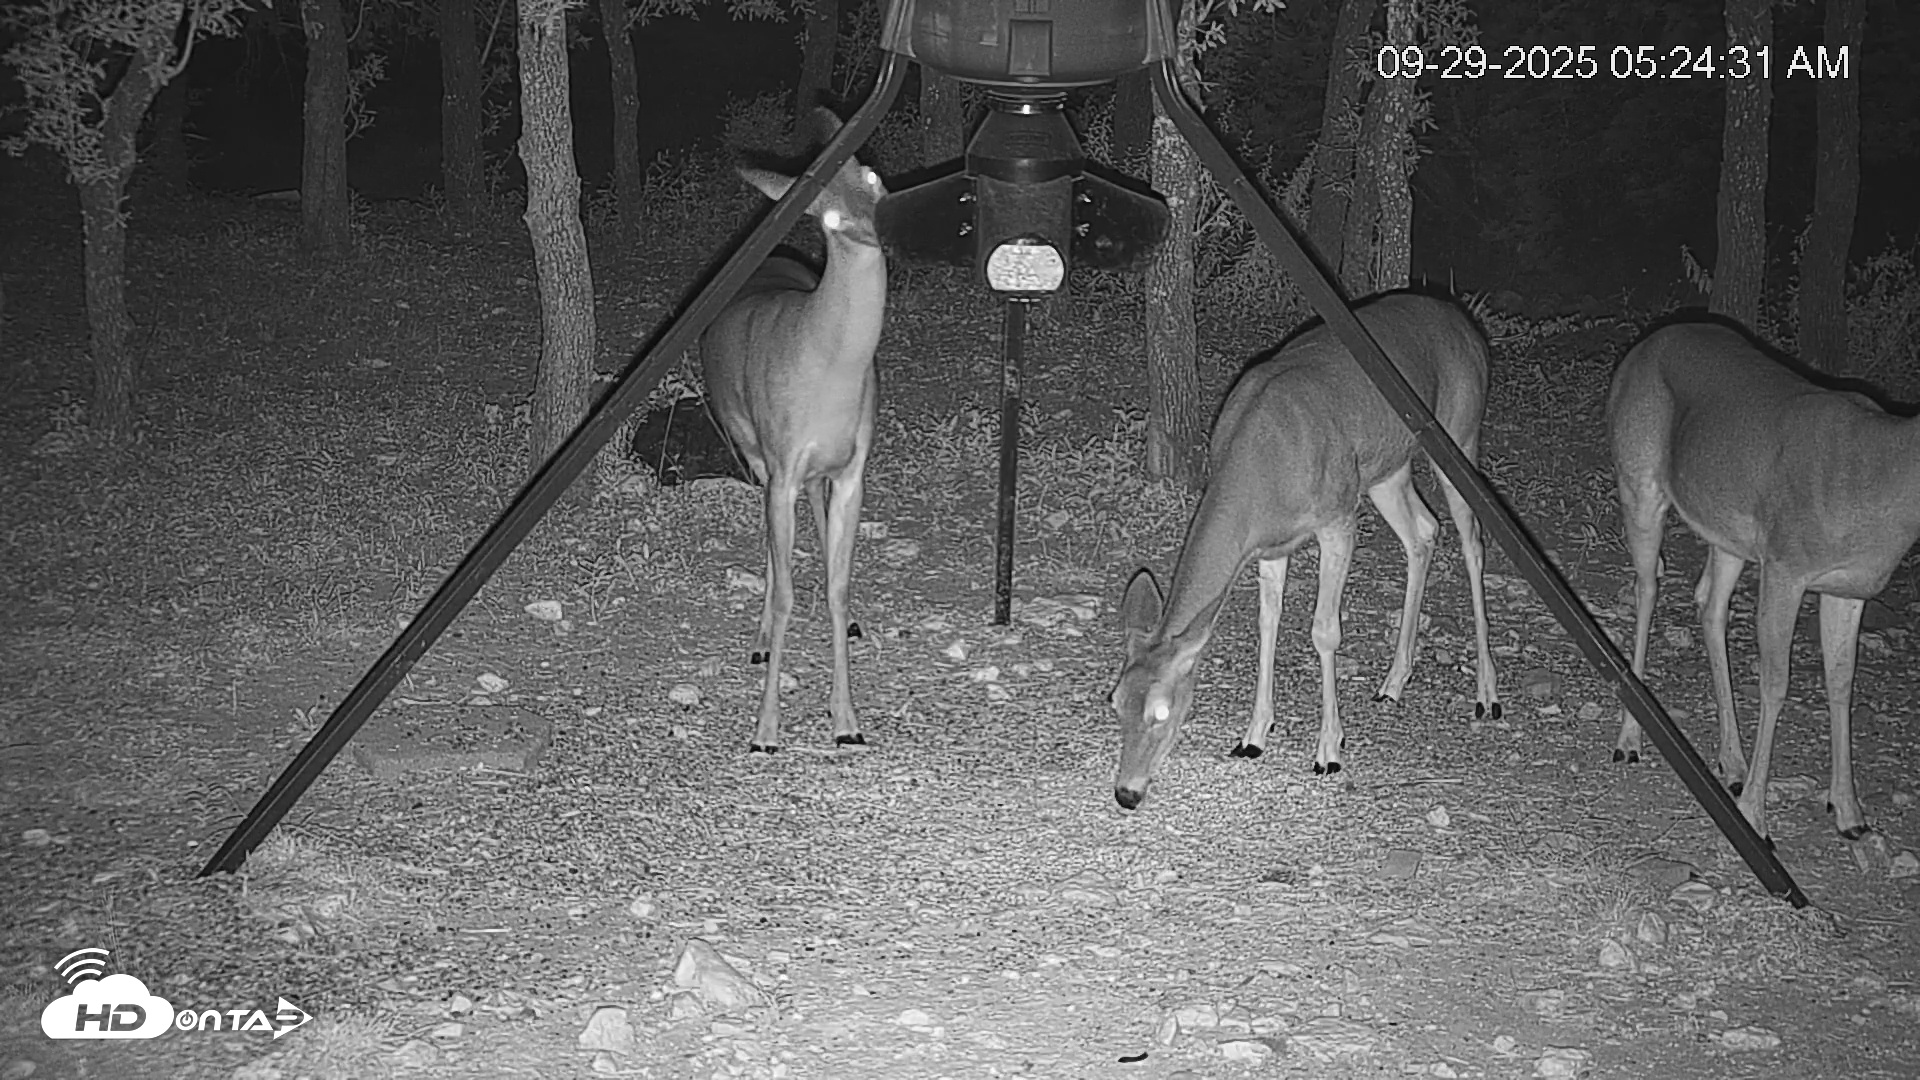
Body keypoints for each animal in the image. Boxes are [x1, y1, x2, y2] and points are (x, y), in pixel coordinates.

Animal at [701, 110, 887, 753]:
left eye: (872, 176)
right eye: (827, 216)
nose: (877, 228)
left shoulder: (854, 467)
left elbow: (838, 585)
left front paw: (847, 720)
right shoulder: (780, 464)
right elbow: (784, 592)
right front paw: (765, 730)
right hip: (750, 448)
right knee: (773, 552)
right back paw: (759, 642)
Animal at [1112, 292, 1502, 810]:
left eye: (1160, 711)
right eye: (1115, 702)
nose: (1126, 792)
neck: (1263, 465)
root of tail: (1465, 324)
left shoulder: (1336, 517)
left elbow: (1324, 631)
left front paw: (1329, 751)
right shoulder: (1270, 545)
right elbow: (1267, 624)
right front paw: (1253, 735)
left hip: (1460, 430)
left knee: (1472, 540)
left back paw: (1487, 693)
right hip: (1385, 468)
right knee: (1422, 531)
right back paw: (1393, 682)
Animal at [1609, 318, 1920, 844]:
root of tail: (1644, 344)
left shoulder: (1846, 587)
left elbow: (1842, 680)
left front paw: (1849, 810)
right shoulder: (1784, 564)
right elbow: (1776, 682)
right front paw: (1754, 816)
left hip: (1728, 533)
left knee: (1708, 605)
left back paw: (1731, 762)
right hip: (1639, 479)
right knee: (1646, 588)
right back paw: (1630, 736)